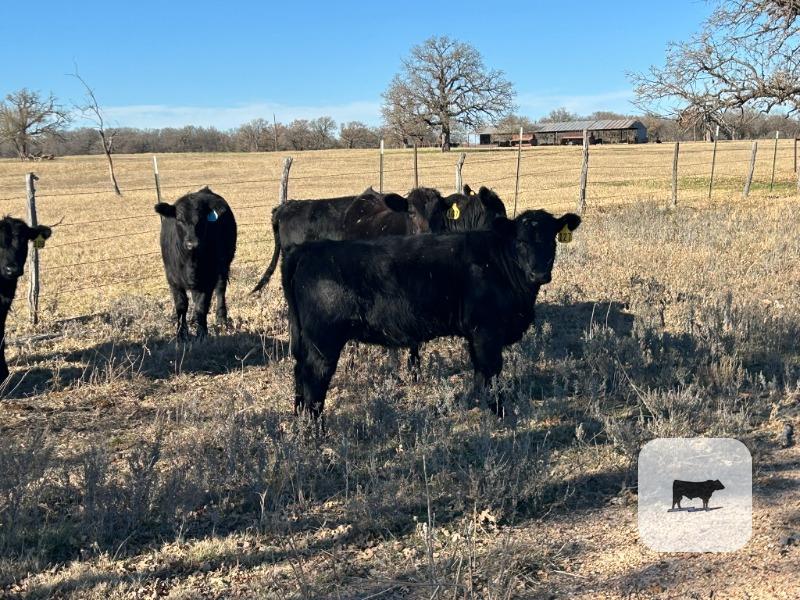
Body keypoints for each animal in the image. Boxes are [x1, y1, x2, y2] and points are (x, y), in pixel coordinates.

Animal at [155, 186, 237, 340]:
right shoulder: (173, 280)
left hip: (224, 264)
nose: (192, 244)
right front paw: (181, 334)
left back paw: (221, 318)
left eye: (202, 220)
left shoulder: (208, 279)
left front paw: (202, 333)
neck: (190, 261)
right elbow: (181, 306)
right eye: (179, 219)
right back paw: (193, 319)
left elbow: (201, 306)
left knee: (220, 289)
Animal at [281, 209, 581, 422]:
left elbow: (479, 373)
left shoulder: (475, 335)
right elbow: (491, 372)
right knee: (314, 380)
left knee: (300, 375)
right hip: (323, 341)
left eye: (552, 238)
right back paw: (316, 431)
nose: (539, 273)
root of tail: (309, 248)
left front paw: (474, 405)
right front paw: (501, 414)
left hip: (308, 342)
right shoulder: (487, 331)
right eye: (520, 240)